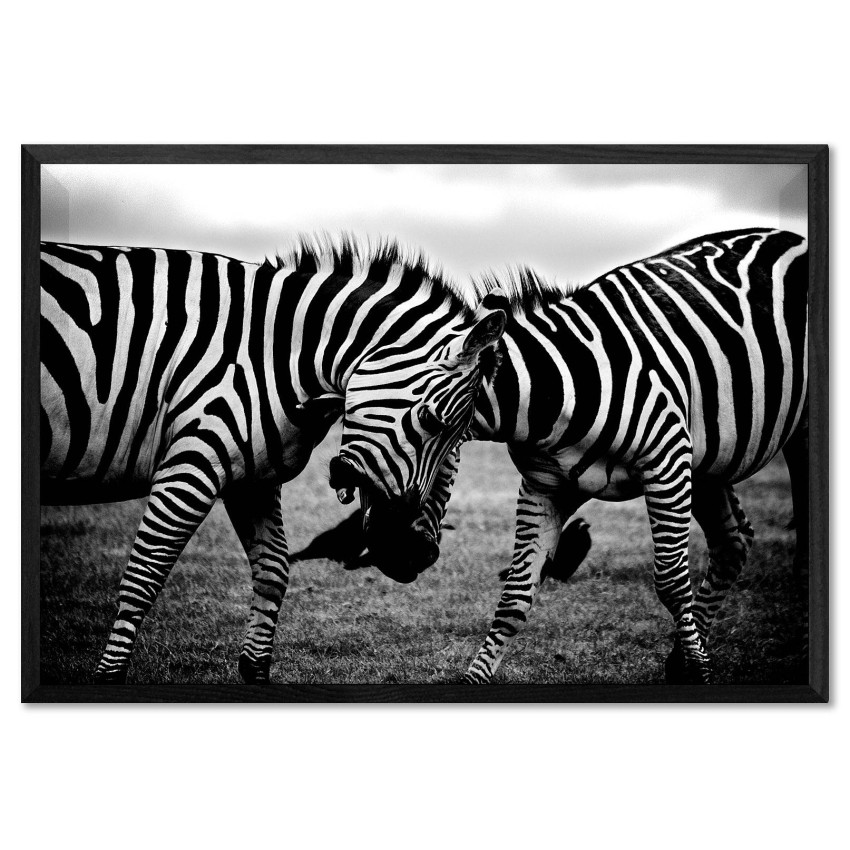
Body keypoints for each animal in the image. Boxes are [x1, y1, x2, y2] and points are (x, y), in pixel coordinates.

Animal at [40, 237, 506, 683]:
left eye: (461, 441)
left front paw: (255, 669)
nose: (414, 556)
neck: (272, 356)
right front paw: (109, 676)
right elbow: (144, 576)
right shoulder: (191, 464)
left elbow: (274, 571)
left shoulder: (252, 478)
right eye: (430, 420)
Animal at [332, 228, 809, 684]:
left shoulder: (668, 462)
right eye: (345, 410)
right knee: (733, 541)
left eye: (434, 423)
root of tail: (787, 236)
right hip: (708, 459)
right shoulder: (546, 487)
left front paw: (702, 673)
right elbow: (515, 596)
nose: (388, 554)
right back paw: (681, 661)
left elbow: (673, 583)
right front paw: (473, 679)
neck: (553, 393)